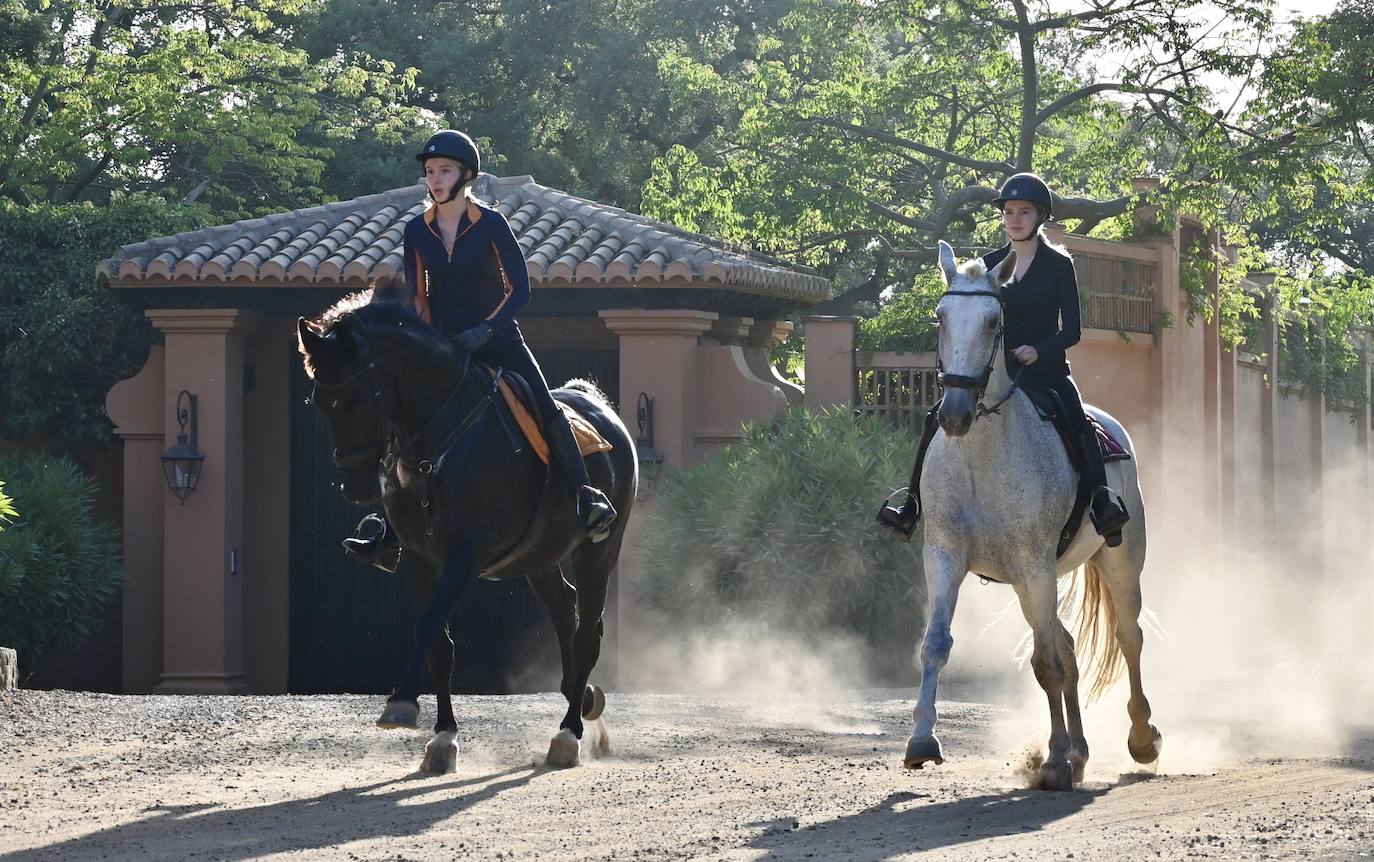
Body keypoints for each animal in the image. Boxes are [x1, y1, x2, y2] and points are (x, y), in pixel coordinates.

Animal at [296, 283, 637, 775]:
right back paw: (579, 695)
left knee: (587, 631)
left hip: (599, 551)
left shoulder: (465, 554)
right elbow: (440, 642)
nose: (358, 489)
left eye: (359, 398)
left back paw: (569, 732)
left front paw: (401, 703)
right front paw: (441, 737)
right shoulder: (420, 559)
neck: (437, 443)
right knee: (565, 608)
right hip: (539, 555)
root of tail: (601, 408)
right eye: (320, 403)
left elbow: (430, 625)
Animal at [906, 239, 1165, 791]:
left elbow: (1046, 665)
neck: (981, 457)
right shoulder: (944, 556)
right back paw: (1082, 752)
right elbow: (936, 643)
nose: (954, 412)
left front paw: (1054, 760)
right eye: (941, 316)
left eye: (993, 322)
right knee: (1066, 646)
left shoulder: (1035, 566)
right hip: (1031, 585)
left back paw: (1140, 739)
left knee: (1127, 637)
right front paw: (921, 742)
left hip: (1116, 561)